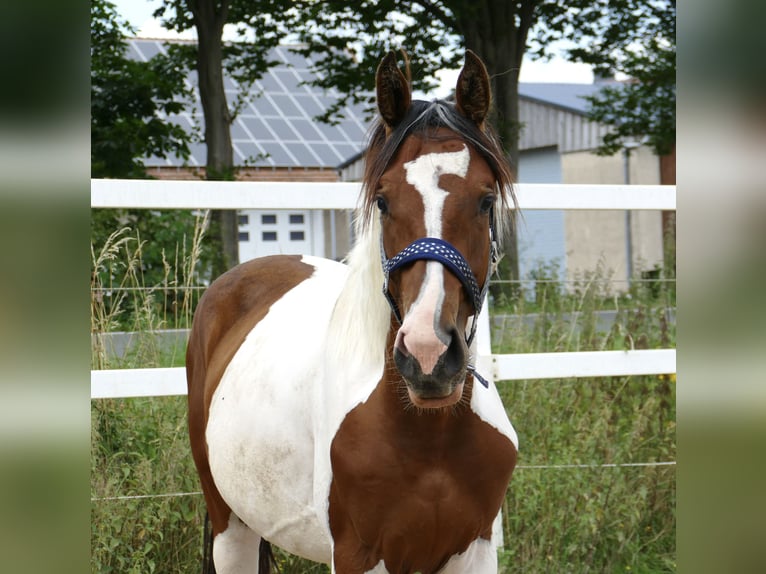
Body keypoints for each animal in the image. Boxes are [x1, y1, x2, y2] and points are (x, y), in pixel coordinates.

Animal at [188, 50, 520, 574]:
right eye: (382, 201)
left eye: (486, 201)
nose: (427, 355)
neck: (430, 438)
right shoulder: (356, 555)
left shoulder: (475, 550)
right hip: (230, 527)